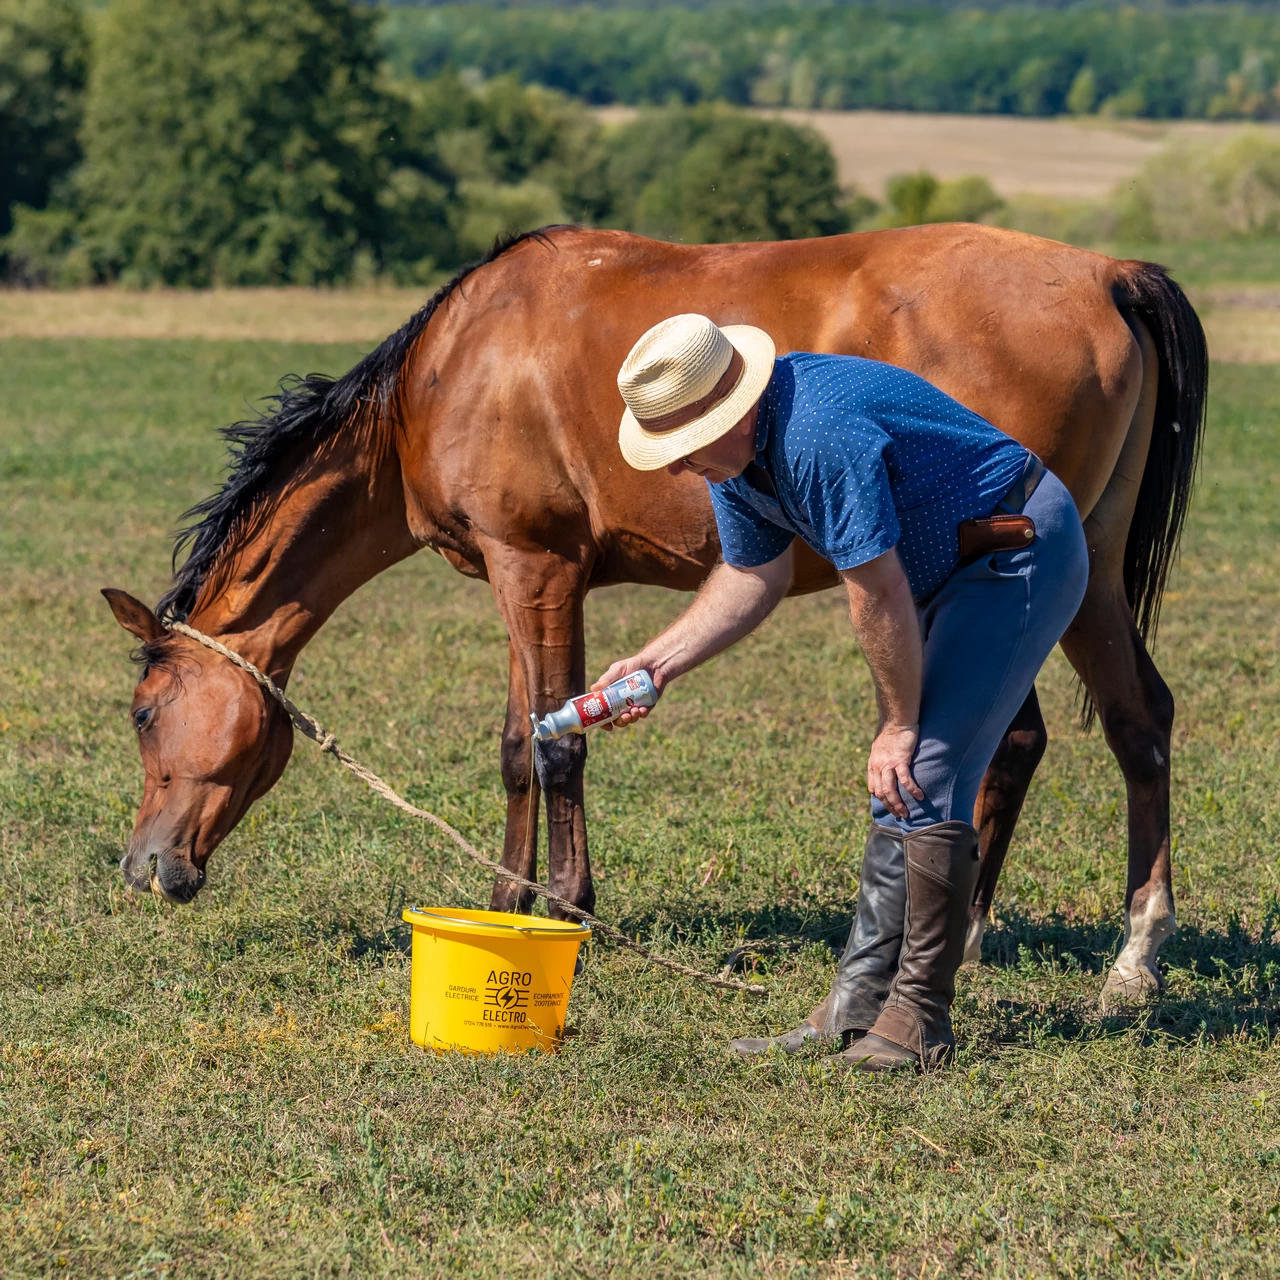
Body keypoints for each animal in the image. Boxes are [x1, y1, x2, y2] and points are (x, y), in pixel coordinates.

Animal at [102, 222, 1205, 1004]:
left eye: (146, 713)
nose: (146, 867)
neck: (451, 372)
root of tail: (1106, 273)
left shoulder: (536, 570)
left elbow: (557, 750)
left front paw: (569, 911)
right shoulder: (524, 577)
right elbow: (518, 744)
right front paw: (504, 904)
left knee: (1077, 731)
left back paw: (1102, 956)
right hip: (1061, 570)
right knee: (1088, 727)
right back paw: (1012, 940)